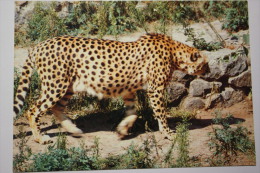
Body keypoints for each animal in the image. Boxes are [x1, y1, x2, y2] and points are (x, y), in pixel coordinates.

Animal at [13, 33, 209, 143]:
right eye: (205, 63)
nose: (208, 70)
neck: (174, 52)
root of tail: (41, 44)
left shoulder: (129, 90)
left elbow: (133, 113)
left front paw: (122, 130)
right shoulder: (156, 89)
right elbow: (161, 113)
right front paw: (168, 133)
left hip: (67, 87)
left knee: (56, 108)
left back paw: (73, 129)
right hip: (56, 85)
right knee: (33, 110)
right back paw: (39, 138)